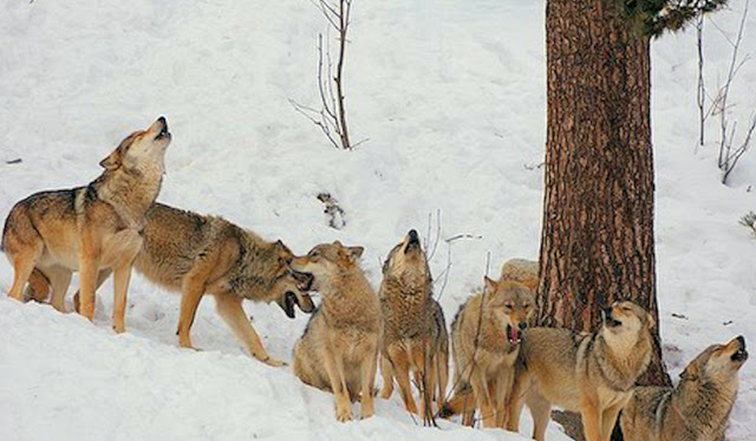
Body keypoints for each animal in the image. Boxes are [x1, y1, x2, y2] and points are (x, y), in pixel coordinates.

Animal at [65, 201, 314, 366]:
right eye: (304, 285)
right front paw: (188, 349)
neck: (244, 259)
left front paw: (269, 361)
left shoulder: (227, 303)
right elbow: (187, 322)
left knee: (79, 296)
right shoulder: (194, 284)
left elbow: (252, 336)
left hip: (108, 269)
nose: (312, 308)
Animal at [290, 242, 380, 422]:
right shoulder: (332, 353)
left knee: (356, 393)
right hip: (301, 349)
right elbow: (340, 388)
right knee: (319, 386)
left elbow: (367, 391)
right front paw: (345, 415)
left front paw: (368, 417)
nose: (288, 259)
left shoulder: (370, 353)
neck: (348, 308)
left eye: (314, 254)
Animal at [378, 229, 448, 422]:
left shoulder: (425, 361)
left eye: (422, 250)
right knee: (388, 388)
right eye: (398, 245)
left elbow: (427, 396)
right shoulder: (398, 364)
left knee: (441, 395)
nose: (413, 231)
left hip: (440, 367)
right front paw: (414, 416)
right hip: (385, 364)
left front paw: (426, 420)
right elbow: (407, 397)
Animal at [440, 278, 536, 426]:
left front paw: (498, 428)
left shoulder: (504, 370)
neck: (496, 346)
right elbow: (485, 403)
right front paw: (490, 427)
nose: (523, 325)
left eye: (526, 306)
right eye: (508, 306)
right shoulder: (477, 370)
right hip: (463, 379)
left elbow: (501, 407)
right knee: (467, 408)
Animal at [508, 300, 656, 440]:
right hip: (518, 400)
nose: (606, 309)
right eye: (613, 305)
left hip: (543, 411)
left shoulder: (611, 411)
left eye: (626, 308)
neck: (620, 360)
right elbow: (596, 437)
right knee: (510, 426)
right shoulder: (591, 408)